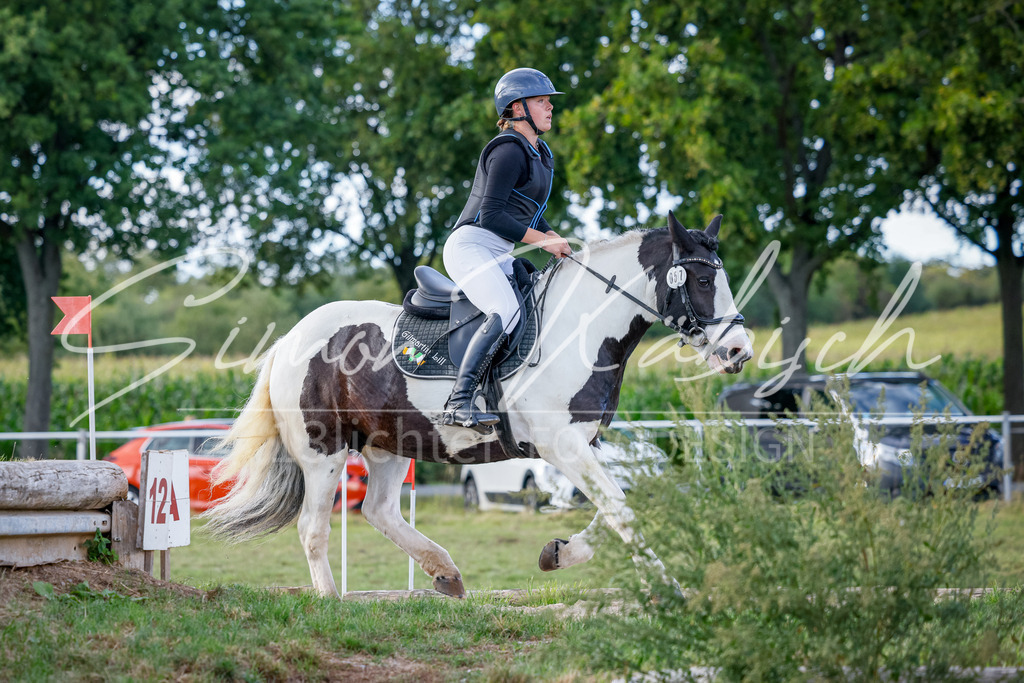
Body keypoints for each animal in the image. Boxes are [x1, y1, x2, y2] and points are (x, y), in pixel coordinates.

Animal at [203, 212, 753, 598]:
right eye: (704, 282)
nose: (739, 351)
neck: (580, 328)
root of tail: (289, 339)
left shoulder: (587, 443)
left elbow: (623, 504)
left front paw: (559, 553)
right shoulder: (563, 446)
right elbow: (621, 509)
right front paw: (668, 589)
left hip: (389, 442)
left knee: (379, 511)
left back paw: (445, 574)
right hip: (324, 452)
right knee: (314, 527)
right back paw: (331, 599)